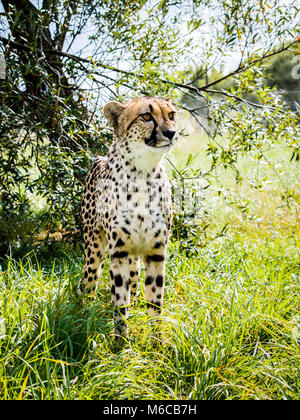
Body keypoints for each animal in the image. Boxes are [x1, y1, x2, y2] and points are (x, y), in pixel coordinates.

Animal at [77, 96, 179, 342]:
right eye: (146, 116)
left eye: (171, 115)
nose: (171, 132)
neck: (143, 172)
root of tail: (98, 159)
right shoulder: (120, 252)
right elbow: (119, 300)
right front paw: (120, 342)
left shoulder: (155, 251)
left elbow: (155, 300)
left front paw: (156, 341)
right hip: (94, 248)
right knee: (89, 281)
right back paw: (84, 313)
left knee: (133, 283)